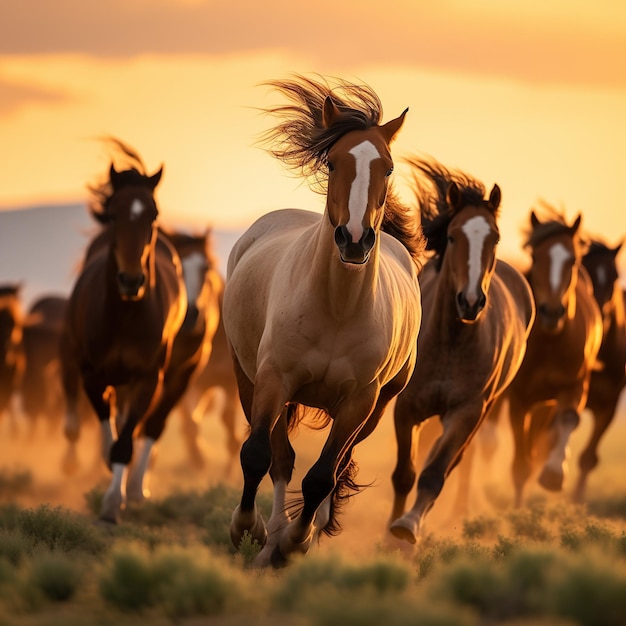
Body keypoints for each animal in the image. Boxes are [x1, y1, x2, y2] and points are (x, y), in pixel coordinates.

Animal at [60, 143, 188, 520]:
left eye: (153, 215)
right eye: (113, 214)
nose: (131, 280)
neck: (125, 316)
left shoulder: (148, 378)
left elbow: (127, 439)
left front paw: (114, 500)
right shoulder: (91, 373)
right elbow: (107, 424)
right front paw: (107, 479)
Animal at [222, 75, 422, 564]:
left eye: (388, 168)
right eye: (333, 163)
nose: (354, 240)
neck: (337, 308)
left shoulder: (359, 404)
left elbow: (323, 475)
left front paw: (298, 540)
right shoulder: (274, 380)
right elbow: (258, 455)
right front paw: (248, 530)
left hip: (375, 410)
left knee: (334, 464)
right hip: (249, 378)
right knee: (279, 457)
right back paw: (269, 533)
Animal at [388, 157, 532, 540]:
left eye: (495, 239)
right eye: (453, 237)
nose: (470, 301)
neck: (451, 342)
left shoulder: (467, 411)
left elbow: (435, 473)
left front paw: (408, 526)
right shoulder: (407, 408)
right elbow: (404, 473)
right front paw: (390, 530)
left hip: (483, 410)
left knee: (455, 462)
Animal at [502, 207, 600, 504]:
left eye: (573, 260)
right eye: (536, 257)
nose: (552, 312)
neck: (550, 342)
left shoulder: (575, 386)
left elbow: (569, 419)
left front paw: (554, 474)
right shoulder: (519, 398)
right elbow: (521, 463)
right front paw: (517, 507)